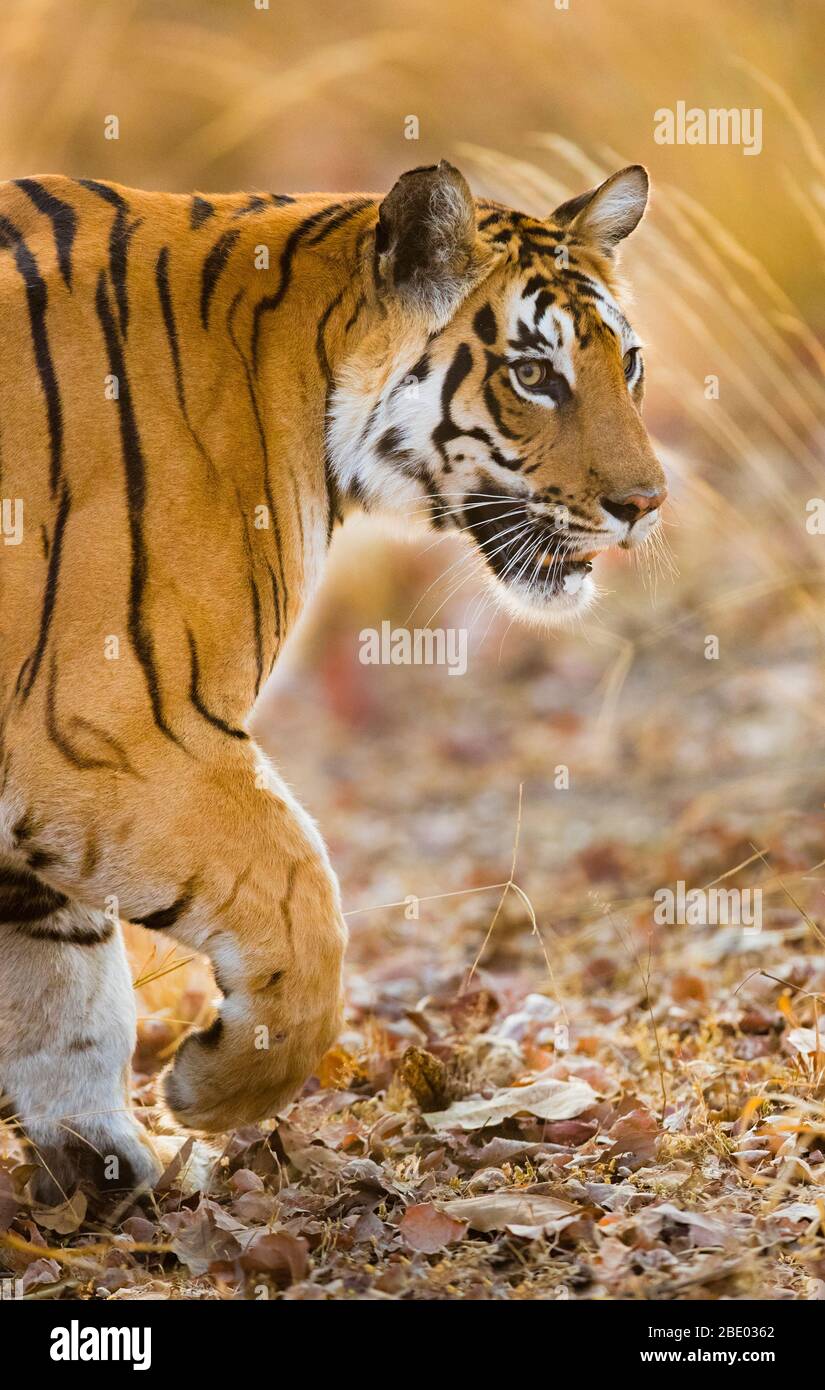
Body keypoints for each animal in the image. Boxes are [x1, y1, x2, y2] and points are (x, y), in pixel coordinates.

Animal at [0, 157, 661, 1200]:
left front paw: (105, 1161)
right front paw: (215, 1090)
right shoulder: (110, 726)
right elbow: (302, 903)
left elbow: (62, 973)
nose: (646, 504)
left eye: (626, 364)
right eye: (532, 374)